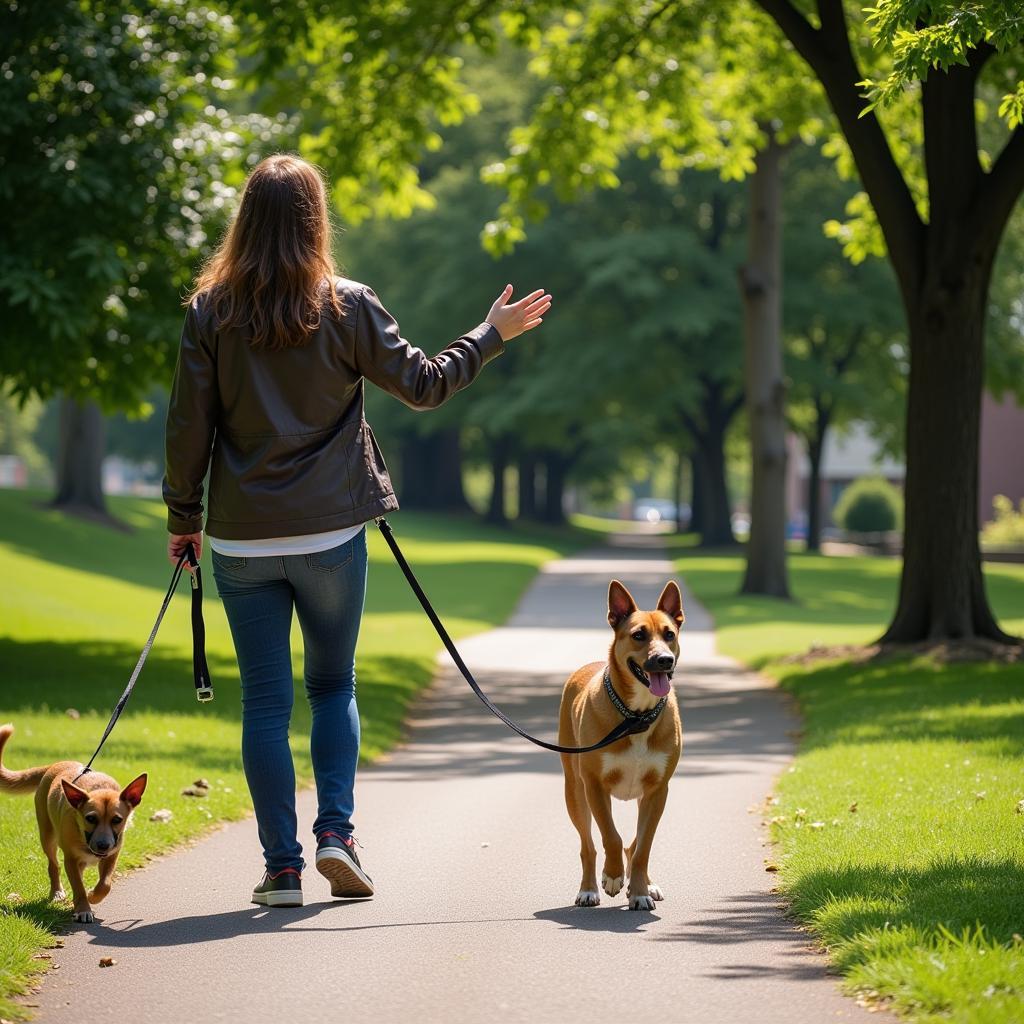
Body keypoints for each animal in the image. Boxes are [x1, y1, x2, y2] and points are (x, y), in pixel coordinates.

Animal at [0, 724, 146, 925]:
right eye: (90, 818)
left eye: (117, 820)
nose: (103, 845)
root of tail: (54, 765)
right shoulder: (70, 858)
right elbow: (78, 886)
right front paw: (84, 907)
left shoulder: (111, 857)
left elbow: (105, 884)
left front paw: (93, 896)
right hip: (47, 836)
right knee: (53, 865)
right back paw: (57, 892)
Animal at [557, 581, 684, 909]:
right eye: (638, 635)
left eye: (669, 634)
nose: (664, 660)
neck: (636, 716)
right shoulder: (594, 785)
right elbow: (610, 836)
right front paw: (612, 876)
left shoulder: (658, 790)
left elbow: (642, 846)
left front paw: (639, 890)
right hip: (574, 790)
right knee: (588, 845)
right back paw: (589, 888)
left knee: (635, 844)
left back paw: (646, 884)